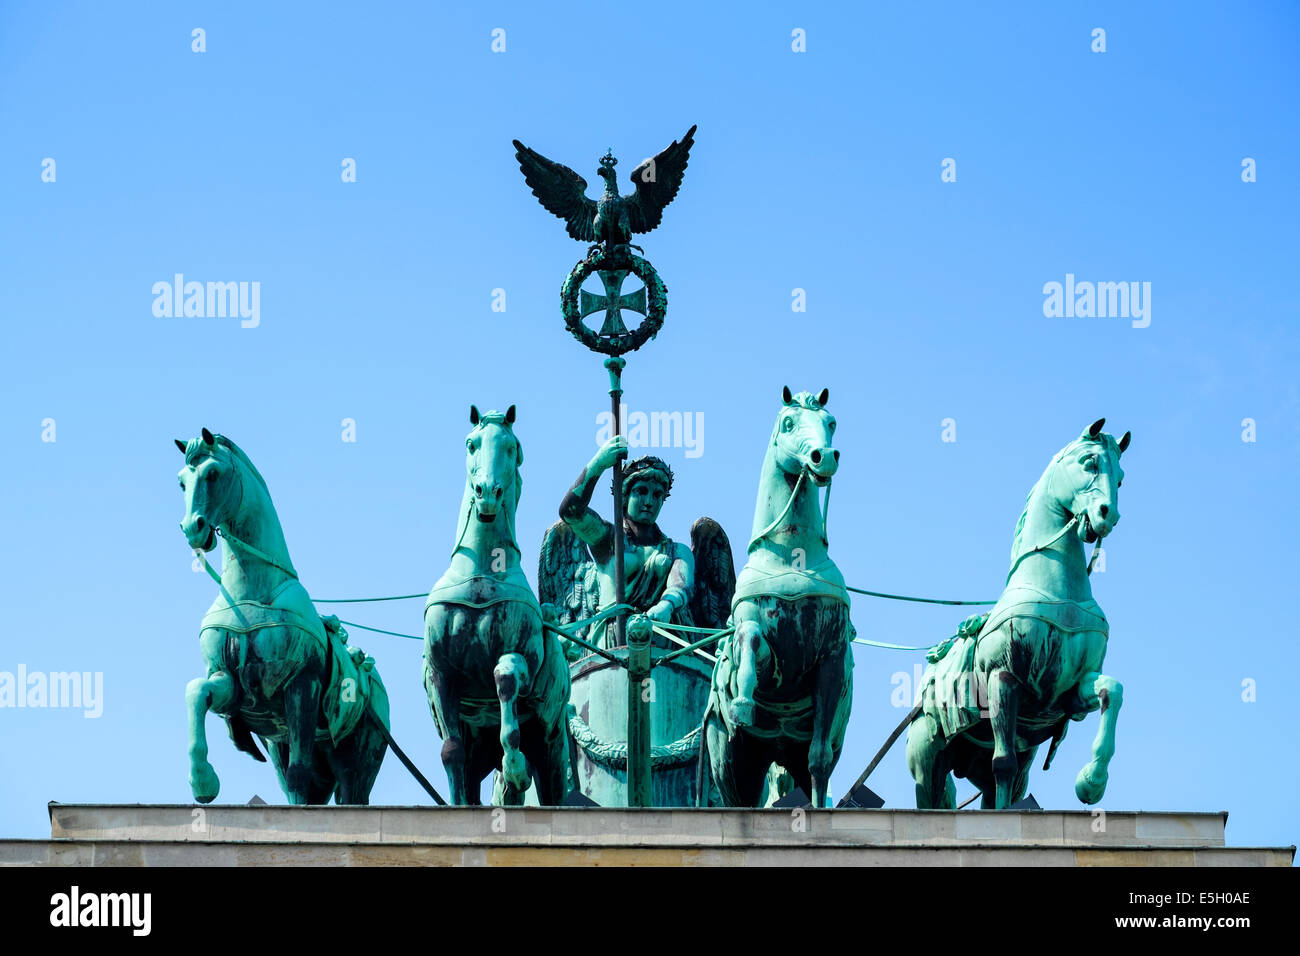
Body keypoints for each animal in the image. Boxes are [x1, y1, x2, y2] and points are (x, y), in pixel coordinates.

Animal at [179, 429, 390, 806]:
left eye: (213, 473)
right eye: (181, 482)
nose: (193, 528)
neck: (250, 592)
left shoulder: (301, 686)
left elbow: (298, 774)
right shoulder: (230, 683)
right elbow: (196, 691)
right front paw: (202, 780)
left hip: (358, 757)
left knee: (348, 792)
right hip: (288, 746)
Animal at [423, 405, 572, 806]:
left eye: (511, 447)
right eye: (471, 443)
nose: (487, 492)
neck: (481, 573)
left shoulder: (523, 658)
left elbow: (503, 678)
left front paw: (516, 768)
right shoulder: (442, 674)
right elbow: (451, 750)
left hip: (551, 745)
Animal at [707, 390, 857, 806]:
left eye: (831, 422)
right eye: (789, 423)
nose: (825, 456)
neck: (791, 556)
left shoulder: (830, 660)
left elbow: (818, 760)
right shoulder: (766, 649)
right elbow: (748, 638)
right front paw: (742, 701)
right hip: (731, 759)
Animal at [909, 418, 1133, 806]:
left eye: (1119, 478)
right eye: (1089, 463)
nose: (1108, 515)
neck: (1055, 588)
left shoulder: (1074, 688)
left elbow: (1113, 690)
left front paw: (1092, 781)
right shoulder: (1003, 678)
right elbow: (1004, 763)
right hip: (927, 758)